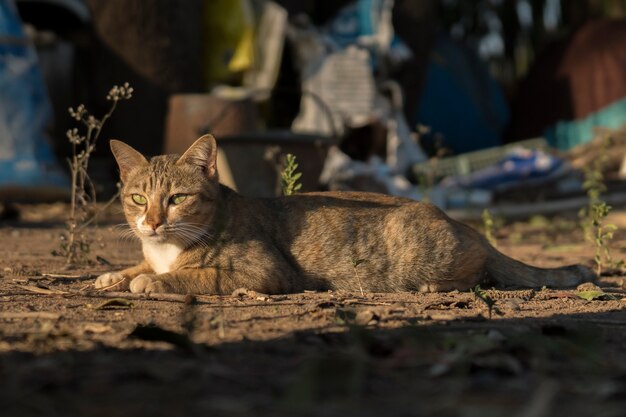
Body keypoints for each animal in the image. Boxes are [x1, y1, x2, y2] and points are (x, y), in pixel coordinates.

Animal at [95, 135, 592, 294]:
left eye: (177, 198)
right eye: (138, 199)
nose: (152, 222)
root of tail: (458, 222)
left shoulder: (265, 272)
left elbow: (197, 275)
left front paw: (152, 280)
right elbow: (137, 264)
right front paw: (116, 274)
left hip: (424, 252)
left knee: (479, 270)